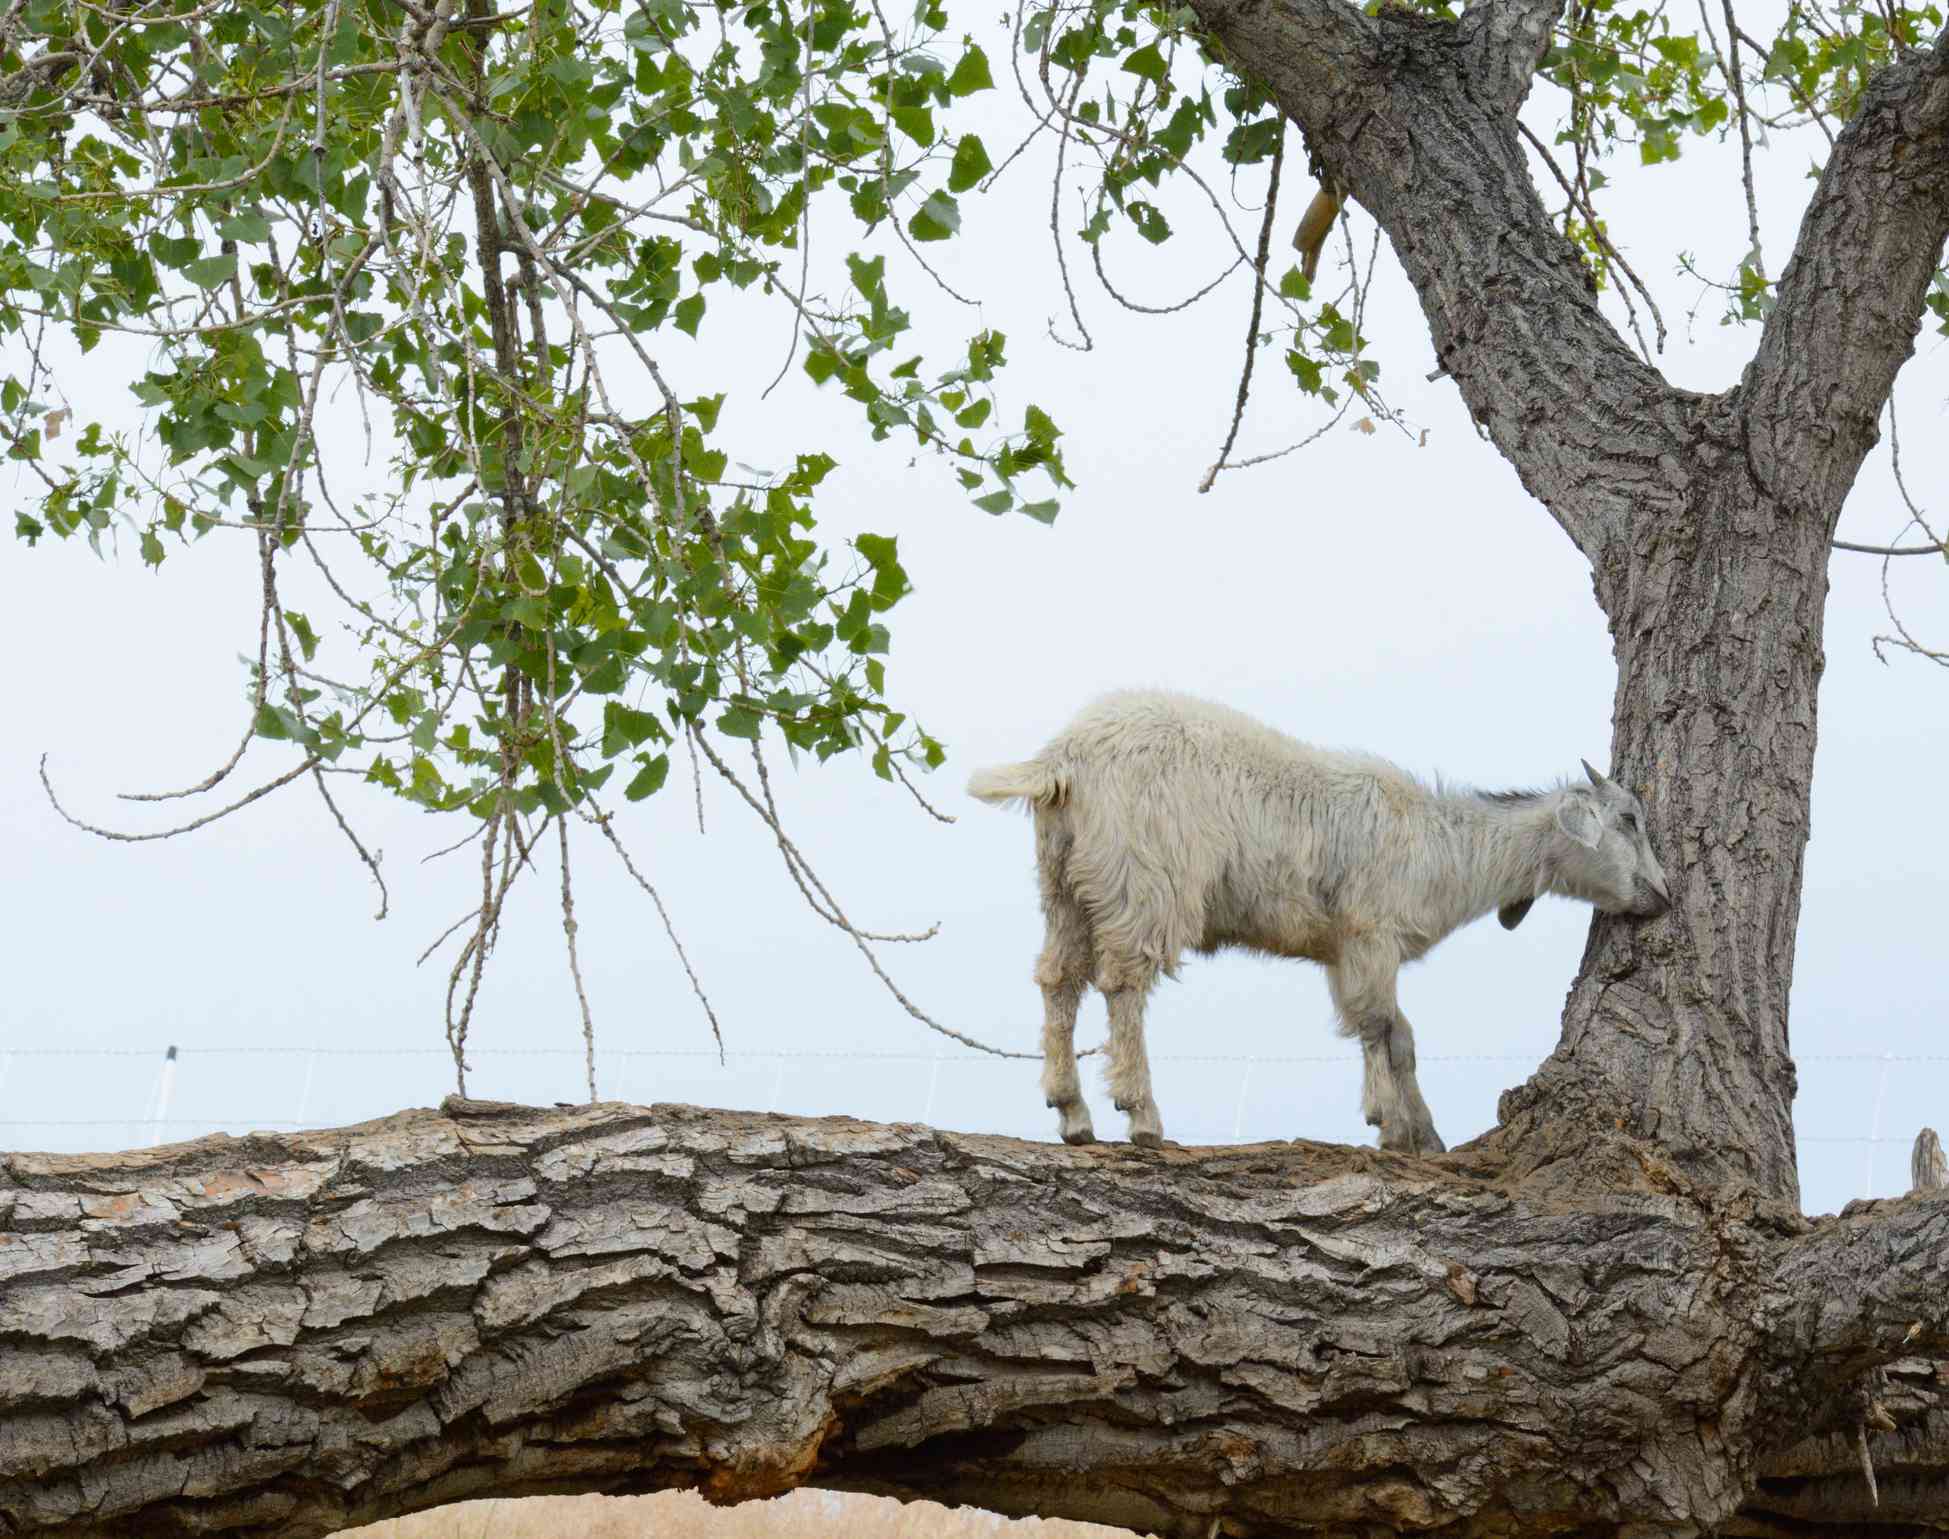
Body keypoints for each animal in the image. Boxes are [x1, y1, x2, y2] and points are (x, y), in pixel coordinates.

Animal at [966, 689, 1668, 1153]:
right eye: (1629, 820)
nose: (1663, 895)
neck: (1444, 847)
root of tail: (1066, 758)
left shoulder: (1344, 951)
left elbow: (1384, 1033)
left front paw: (1406, 1127)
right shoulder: (1370, 935)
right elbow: (1389, 1031)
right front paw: (1403, 1128)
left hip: (1067, 883)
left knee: (1059, 977)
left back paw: (1072, 1112)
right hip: (1144, 880)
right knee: (1122, 982)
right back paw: (1141, 1115)